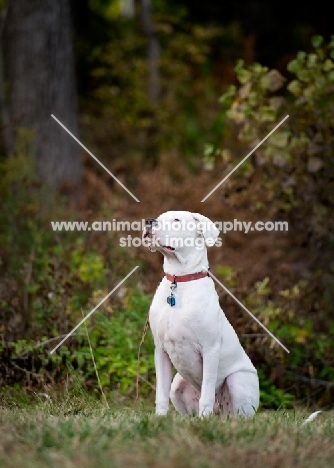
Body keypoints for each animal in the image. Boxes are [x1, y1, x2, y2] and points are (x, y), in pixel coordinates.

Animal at [142, 210, 260, 414]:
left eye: (176, 220)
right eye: (159, 216)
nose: (149, 222)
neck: (179, 279)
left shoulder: (210, 349)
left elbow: (207, 394)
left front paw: (204, 419)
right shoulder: (161, 350)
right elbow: (160, 395)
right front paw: (159, 418)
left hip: (238, 380)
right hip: (177, 384)